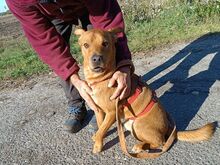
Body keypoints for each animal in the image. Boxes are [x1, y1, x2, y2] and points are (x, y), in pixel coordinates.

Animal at [75, 27, 216, 157]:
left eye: (105, 43)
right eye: (86, 45)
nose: (96, 59)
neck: (101, 79)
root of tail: (169, 128)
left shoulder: (112, 112)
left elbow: (102, 129)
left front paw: (98, 146)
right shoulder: (99, 110)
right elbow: (101, 128)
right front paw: (99, 139)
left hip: (138, 125)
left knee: (160, 142)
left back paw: (140, 147)